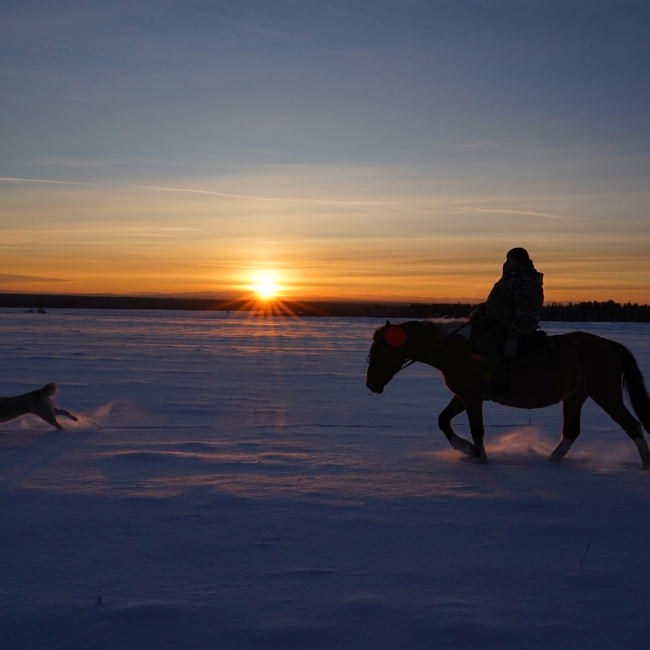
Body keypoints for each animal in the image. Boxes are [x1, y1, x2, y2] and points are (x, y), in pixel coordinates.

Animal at [366, 320, 650, 469]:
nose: (370, 385)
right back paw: (550, 460)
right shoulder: (462, 396)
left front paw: (479, 457)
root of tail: (608, 345)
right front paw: (466, 449)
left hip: (607, 396)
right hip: (575, 397)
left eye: (379, 351)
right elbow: (443, 421)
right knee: (571, 431)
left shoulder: (471, 398)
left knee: (633, 426)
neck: (455, 350)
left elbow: (477, 430)